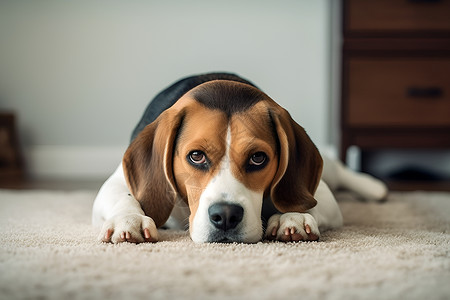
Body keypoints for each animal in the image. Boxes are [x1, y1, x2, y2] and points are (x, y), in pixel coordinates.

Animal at [91, 72, 386, 244]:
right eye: (196, 156)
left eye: (258, 158)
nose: (225, 216)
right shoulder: (117, 182)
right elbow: (124, 196)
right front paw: (128, 220)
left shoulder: (322, 195)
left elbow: (303, 200)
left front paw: (291, 217)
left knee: (339, 170)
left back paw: (374, 187)